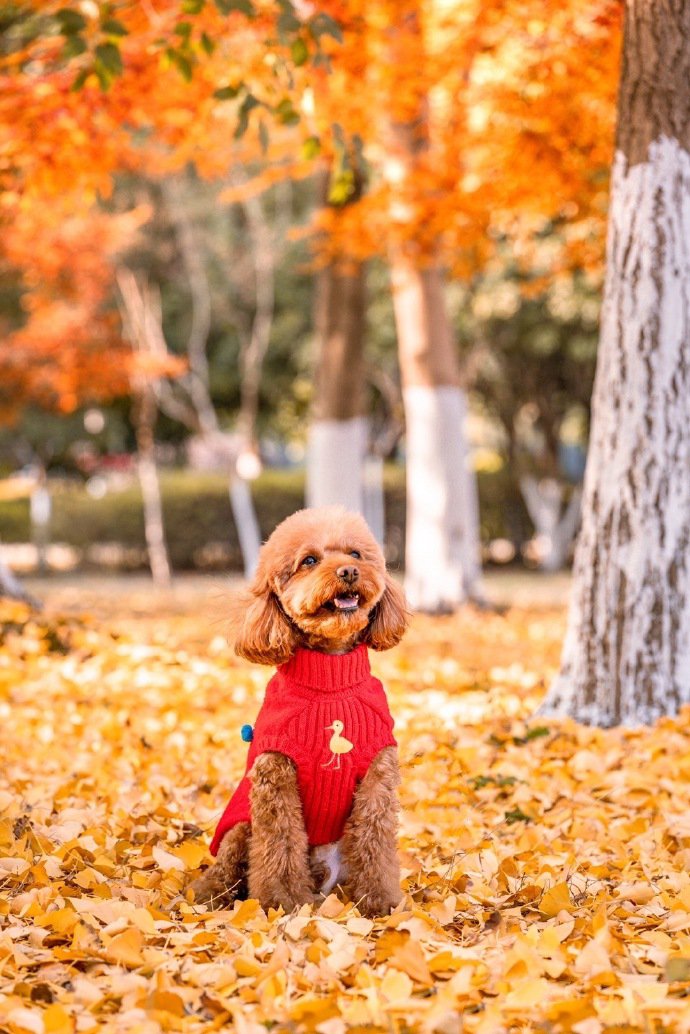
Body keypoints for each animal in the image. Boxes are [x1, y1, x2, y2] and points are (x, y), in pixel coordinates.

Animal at [190, 504, 409, 918]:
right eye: (309, 561)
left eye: (355, 554)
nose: (349, 571)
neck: (330, 677)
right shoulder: (276, 776)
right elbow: (280, 848)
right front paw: (283, 903)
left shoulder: (377, 777)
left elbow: (375, 846)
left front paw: (379, 901)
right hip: (240, 826)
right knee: (225, 869)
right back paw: (209, 896)